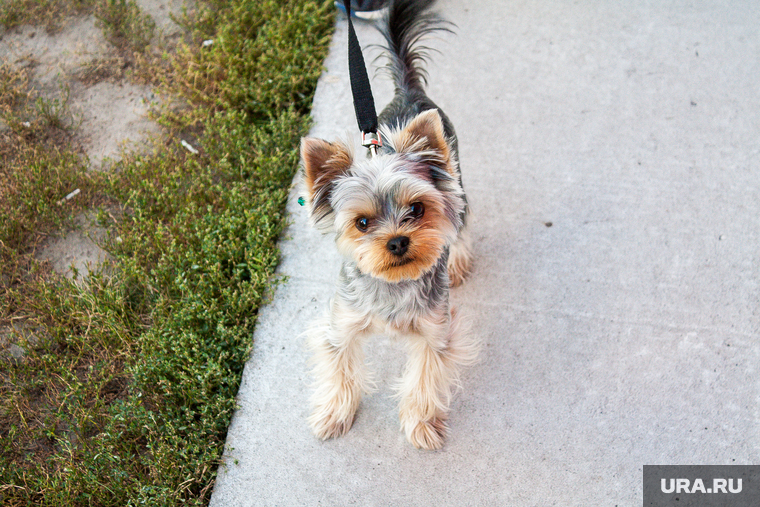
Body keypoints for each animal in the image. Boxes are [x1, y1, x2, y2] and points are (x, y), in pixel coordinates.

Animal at [300, 0, 478, 450]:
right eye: (362, 222)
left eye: (416, 209)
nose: (397, 242)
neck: (393, 285)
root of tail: (408, 92)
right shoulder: (340, 327)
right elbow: (339, 368)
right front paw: (334, 413)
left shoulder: (436, 331)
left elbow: (425, 377)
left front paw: (421, 423)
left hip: (458, 180)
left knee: (460, 220)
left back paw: (457, 259)